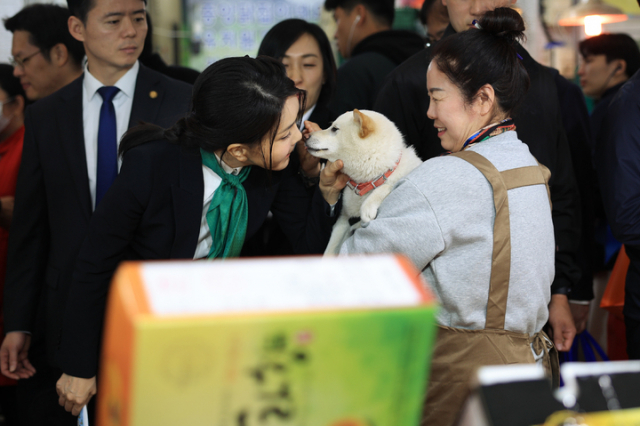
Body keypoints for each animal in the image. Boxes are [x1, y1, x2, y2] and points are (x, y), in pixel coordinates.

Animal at [304, 110, 420, 256]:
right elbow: (330, 250)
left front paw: (367, 207)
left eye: (334, 129)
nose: (305, 136)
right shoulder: (343, 220)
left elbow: (386, 186)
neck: (364, 183)